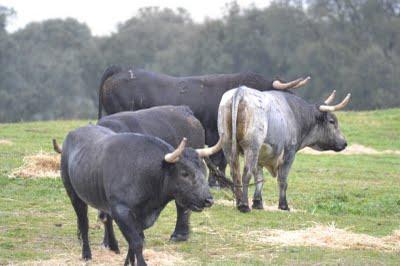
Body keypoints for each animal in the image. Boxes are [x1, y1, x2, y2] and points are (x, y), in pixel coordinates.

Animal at [52, 125, 222, 266]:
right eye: (184, 173)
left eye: (204, 171)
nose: (208, 200)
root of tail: (74, 133)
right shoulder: (121, 211)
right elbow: (136, 242)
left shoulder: (138, 216)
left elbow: (135, 241)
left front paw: (128, 262)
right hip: (74, 194)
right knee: (84, 223)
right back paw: (86, 254)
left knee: (106, 219)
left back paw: (113, 247)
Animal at [219, 87, 350, 212]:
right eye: (332, 121)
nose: (344, 143)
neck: (295, 114)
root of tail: (241, 90)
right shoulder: (289, 153)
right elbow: (282, 180)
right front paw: (283, 205)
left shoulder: (260, 157)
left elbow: (259, 178)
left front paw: (258, 202)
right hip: (252, 147)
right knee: (246, 173)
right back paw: (244, 205)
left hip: (227, 144)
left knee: (235, 173)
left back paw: (239, 202)